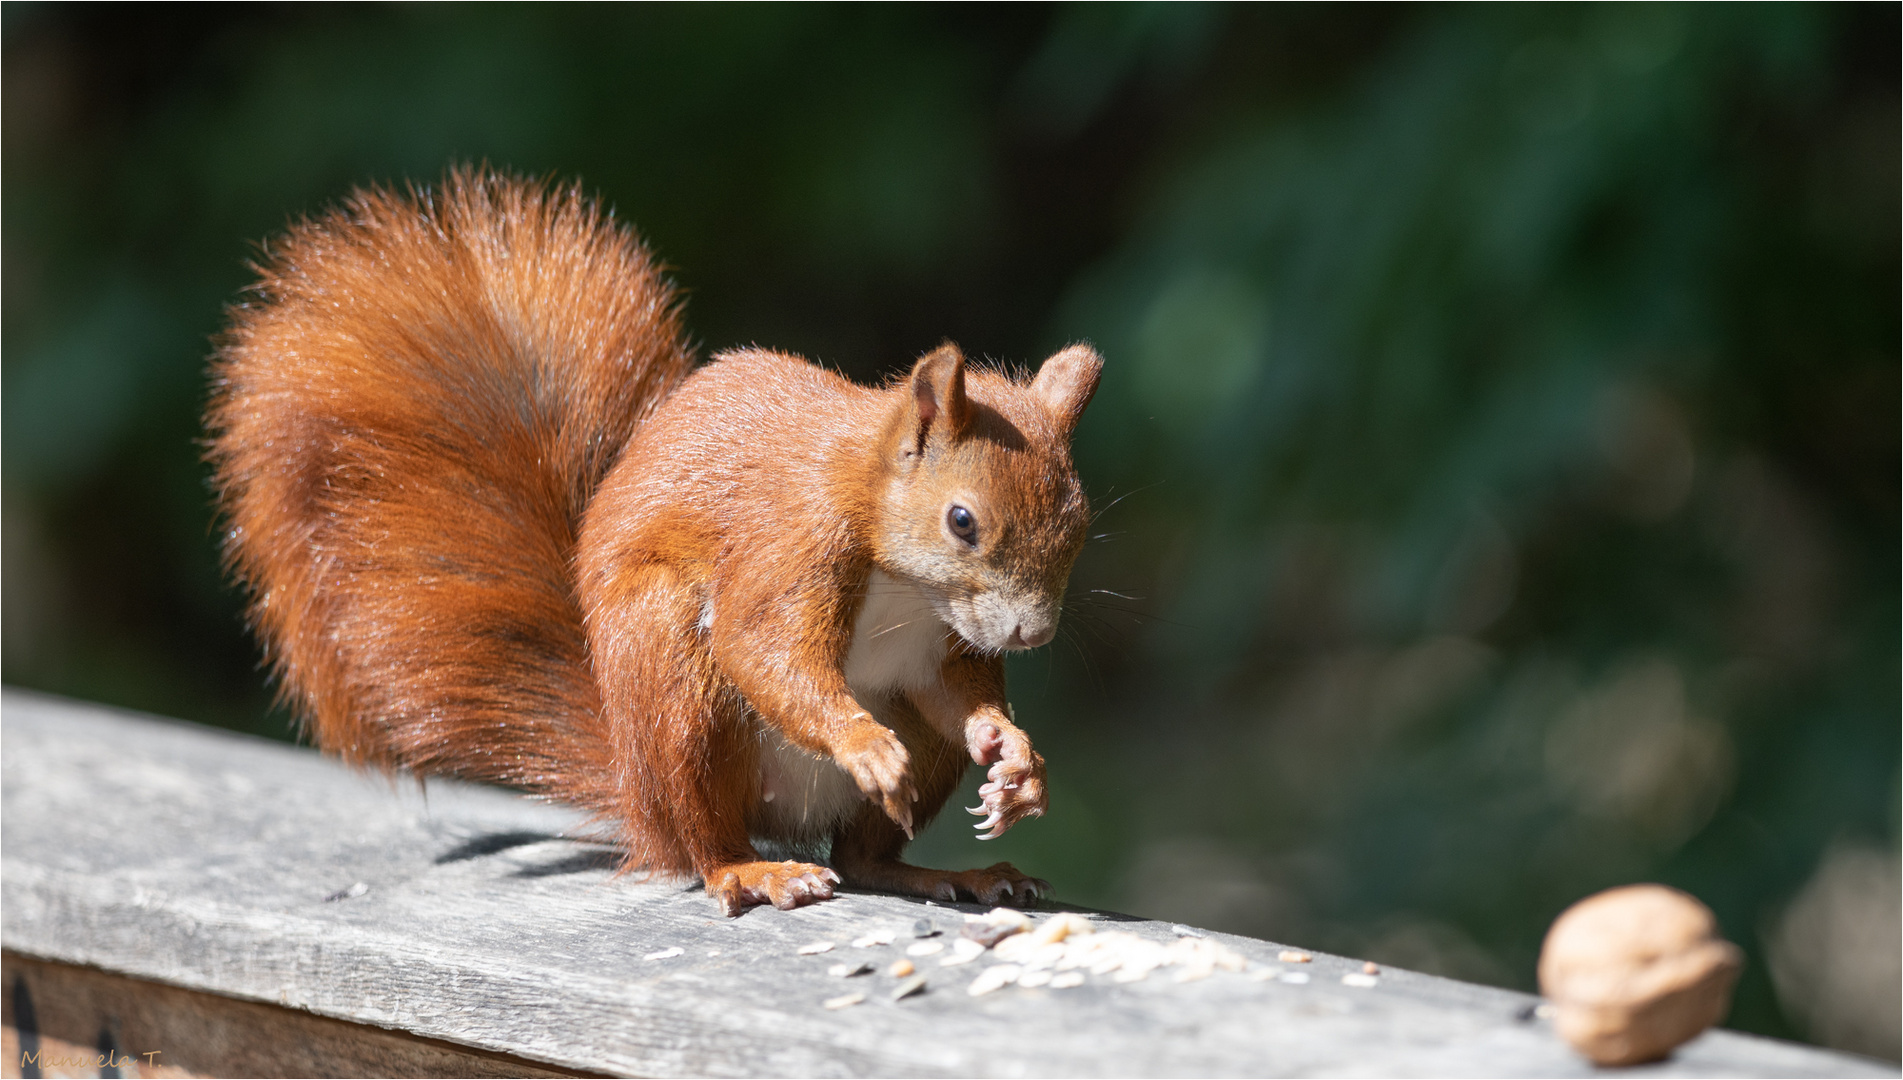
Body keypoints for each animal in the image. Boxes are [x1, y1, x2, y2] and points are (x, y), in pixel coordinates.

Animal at [204, 166, 1103, 912]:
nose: (1032, 633)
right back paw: (750, 869)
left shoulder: (936, 645)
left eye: (1080, 524)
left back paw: (952, 873)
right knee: (700, 844)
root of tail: (636, 800)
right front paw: (865, 745)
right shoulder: (790, 543)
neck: (901, 577)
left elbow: (957, 696)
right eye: (961, 521)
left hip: (875, 755)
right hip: (671, 677)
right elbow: (761, 645)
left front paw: (1014, 756)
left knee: (861, 857)